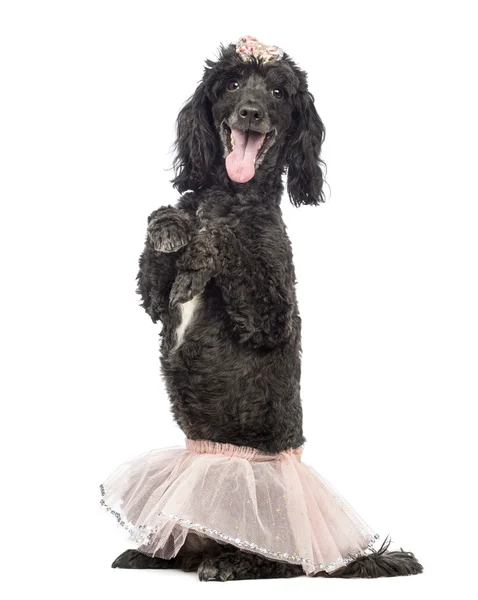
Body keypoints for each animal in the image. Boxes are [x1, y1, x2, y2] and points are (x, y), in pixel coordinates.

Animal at [109, 36, 422, 580]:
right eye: (232, 83)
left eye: (278, 92)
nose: (251, 112)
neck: (229, 197)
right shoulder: (153, 300)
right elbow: (159, 244)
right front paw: (171, 226)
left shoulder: (271, 312)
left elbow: (224, 242)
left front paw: (201, 250)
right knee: (187, 545)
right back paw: (156, 552)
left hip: (273, 527)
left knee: (284, 560)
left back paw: (233, 562)